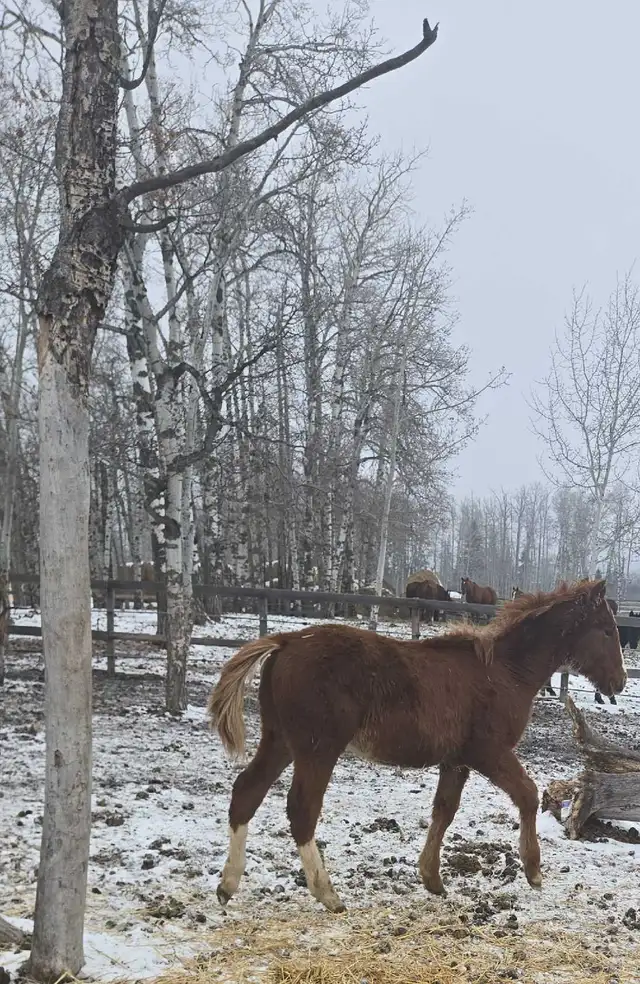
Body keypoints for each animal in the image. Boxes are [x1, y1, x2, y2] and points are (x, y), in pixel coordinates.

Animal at [208, 579, 625, 913]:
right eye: (606, 630)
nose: (619, 682)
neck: (507, 672)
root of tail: (286, 639)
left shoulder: (456, 761)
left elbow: (444, 810)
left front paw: (432, 879)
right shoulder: (488, 752)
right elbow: (526, 795)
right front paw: (534, 871)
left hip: (280, 740)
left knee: (246, 792)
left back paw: (228, 885)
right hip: (317, 748)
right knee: (301, 810)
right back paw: (327, 894)